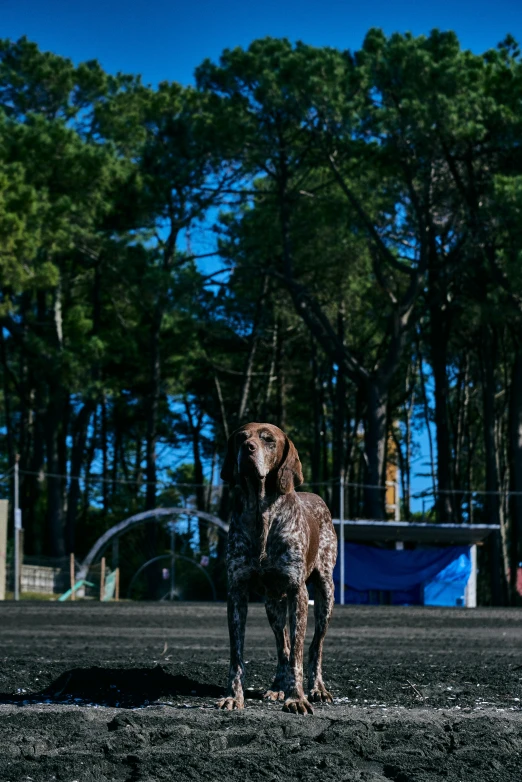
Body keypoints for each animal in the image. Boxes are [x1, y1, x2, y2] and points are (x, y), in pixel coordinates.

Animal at [216, 422, 336, 716]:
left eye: (268, 440)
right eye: (241, 438)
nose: (247, 449)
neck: (262, 512)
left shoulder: (298, 593)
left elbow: (299, 656)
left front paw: (296, 698)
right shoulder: (237, 593)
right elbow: (237, 655)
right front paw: (233, 696)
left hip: (326, 594)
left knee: (314, 647)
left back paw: (317, 688)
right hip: (273, 605)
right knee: (283, 647)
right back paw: (277, 686)